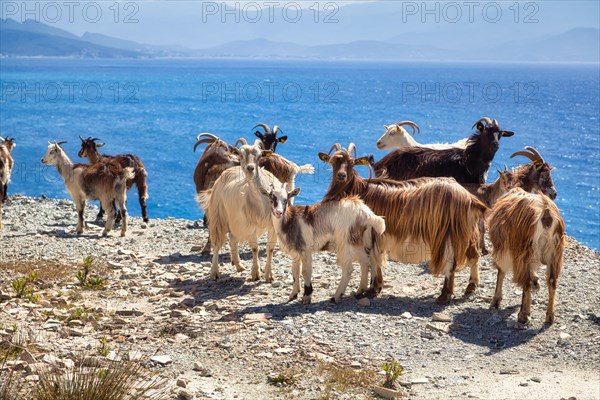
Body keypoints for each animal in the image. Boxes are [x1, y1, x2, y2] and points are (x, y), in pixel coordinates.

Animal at [197, 140, 282, 282]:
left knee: (233, 239)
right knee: (216, 244)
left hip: (234, 220)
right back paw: (215, 272)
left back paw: (238, 265)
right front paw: (256, 273)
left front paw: (269, 274)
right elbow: (255, 248)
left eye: (259, 156)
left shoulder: (273, 225)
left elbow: (270, 249)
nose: (250, 168)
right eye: (241, 155)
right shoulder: (250, 225)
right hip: (218, 216)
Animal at [318, 144, 488, 304]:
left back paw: (444, 295)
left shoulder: (372, 233)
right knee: (474, 254)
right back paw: (471, 286)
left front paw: (372, 289)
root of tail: (469, 198)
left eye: (352, 163)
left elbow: (374, 259)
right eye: (333, 162)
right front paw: (376, 287)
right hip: (467, 231)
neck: (359, 190)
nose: (341, 175)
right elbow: (374, 259)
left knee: (450, 262)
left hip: (447, 233)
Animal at [488, 188, 568, 324]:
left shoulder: (503, 249)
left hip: (524, 251)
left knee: (526, 282)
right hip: (554, 254)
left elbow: (501, 272)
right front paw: (536, 281)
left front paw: (495, 301)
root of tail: (546, 215)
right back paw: (550, 316)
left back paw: (523, 314)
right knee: (552, 281)